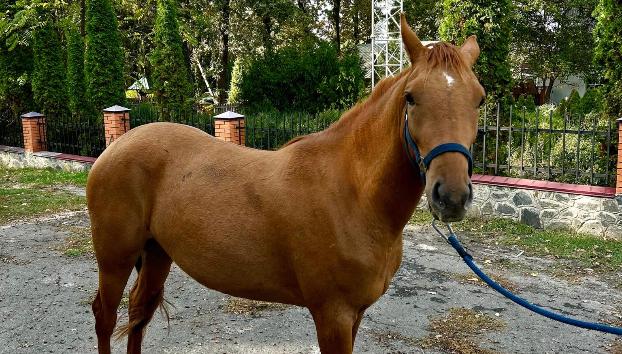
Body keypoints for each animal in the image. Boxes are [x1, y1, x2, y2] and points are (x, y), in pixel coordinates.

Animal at [88, 15, 488, 352]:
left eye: (480, 99)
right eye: (411, 97)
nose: (451, 196)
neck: (354, 195)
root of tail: (117, 145)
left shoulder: (354, 315)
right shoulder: (333, 315)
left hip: (157, 253)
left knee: (139, 315)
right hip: (115, 259)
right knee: (105, 316)